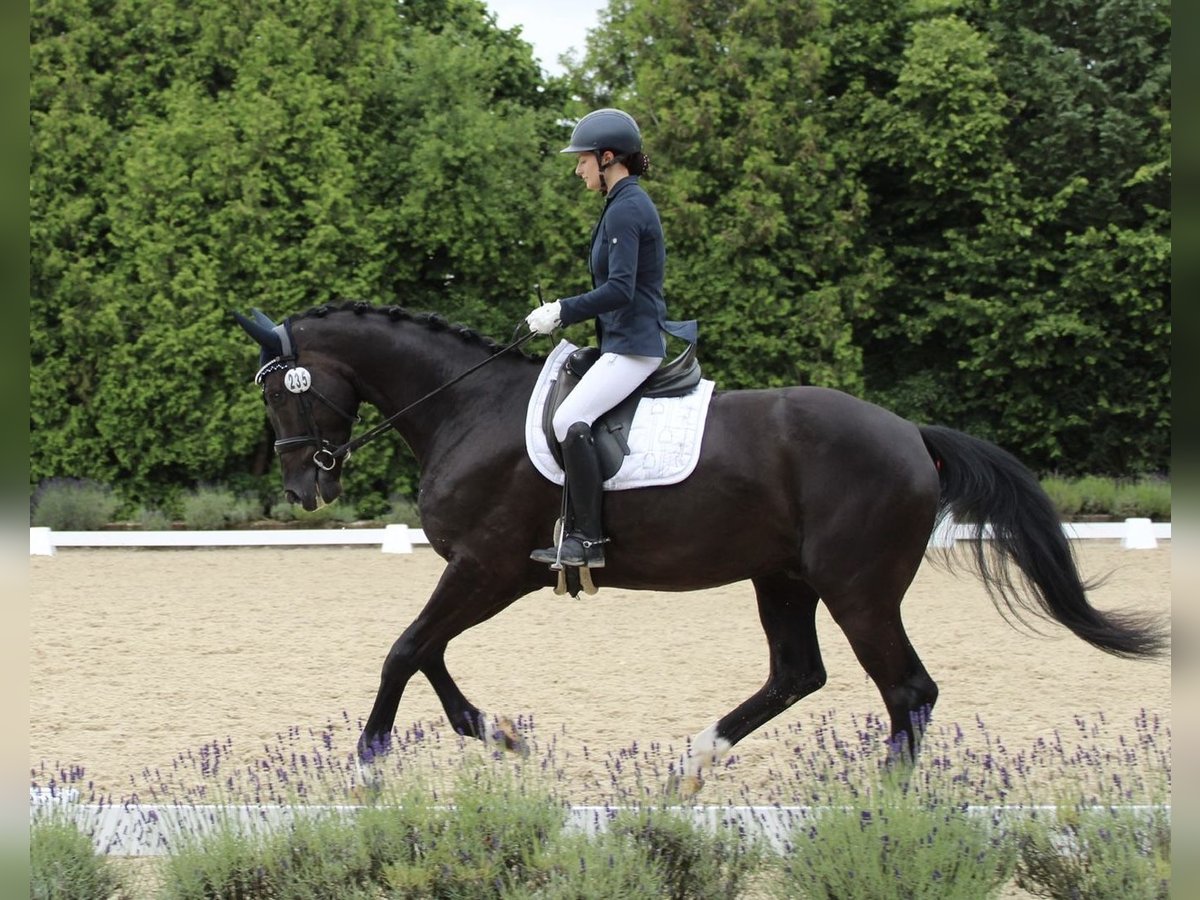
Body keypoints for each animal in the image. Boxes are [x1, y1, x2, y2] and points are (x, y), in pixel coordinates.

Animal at [231, 304, 1161, 796]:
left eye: (284, 394)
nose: (305, 490)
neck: (469, 408)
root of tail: (910, 433)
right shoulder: (486, 573)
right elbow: (427, 653)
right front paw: (495, 734)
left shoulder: (488, 568)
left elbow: (404, 649)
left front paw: (366, 765)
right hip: (783, 577)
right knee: (798, 675)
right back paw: (690, 765)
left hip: (858, 588)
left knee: (907, 689)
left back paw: (882, 804)